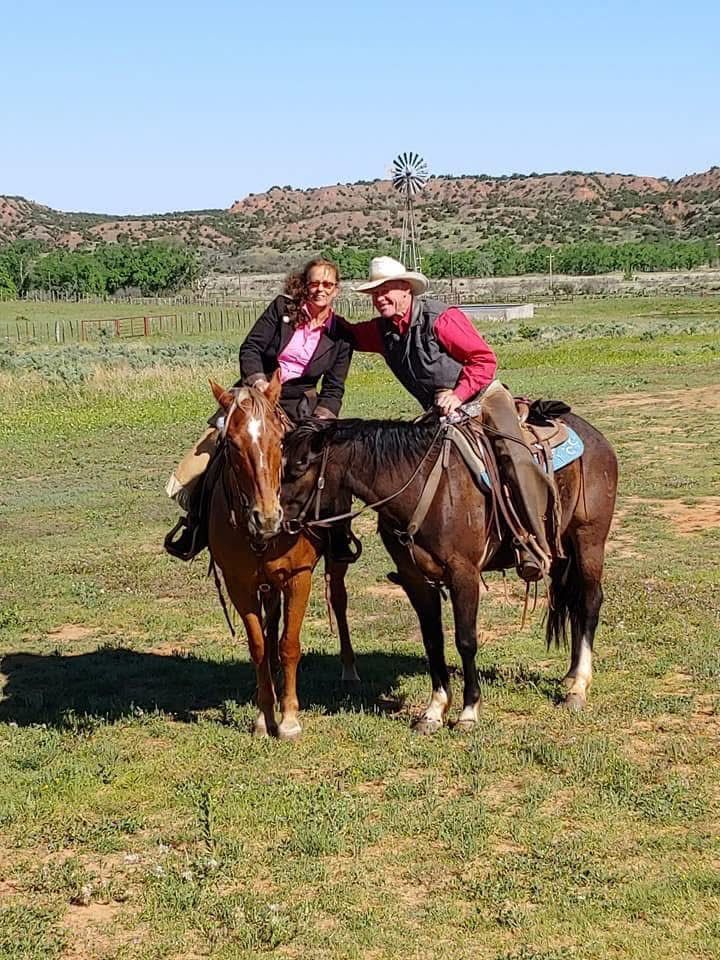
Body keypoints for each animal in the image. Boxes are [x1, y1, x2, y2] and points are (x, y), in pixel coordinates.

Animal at [205, 378, 358, 740]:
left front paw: (288, 718)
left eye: (280, 441)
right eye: (232, 444)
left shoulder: (297, 577)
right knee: (271, 620)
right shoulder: (239, 584)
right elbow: (260, 646)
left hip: (335, 561)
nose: (267, 518)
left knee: (338, 599)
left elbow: (290, 644)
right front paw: (265, 715)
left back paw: (348, 668)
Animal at [284, 412, 620, 736]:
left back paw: (578, 688)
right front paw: (433, 711)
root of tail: (597, 438)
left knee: (590, 602)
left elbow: (466, 640)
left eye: (300, 467)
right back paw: (571, 675)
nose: (275, 519)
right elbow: (433, 640)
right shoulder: (415, 581)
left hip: (589, 540)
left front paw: (469, 712)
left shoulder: (464, 575)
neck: (423, 488)